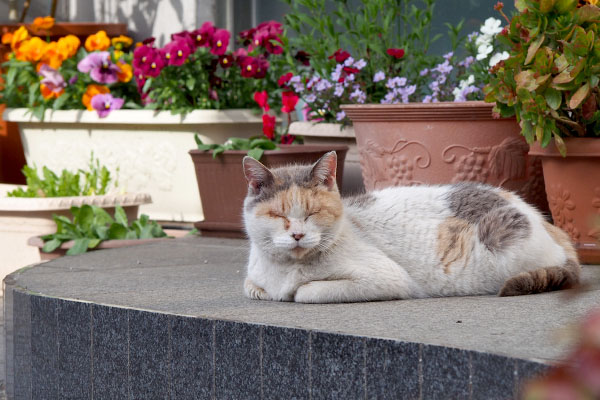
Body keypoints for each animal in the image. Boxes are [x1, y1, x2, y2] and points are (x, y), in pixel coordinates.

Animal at [240, 151, 580, 304]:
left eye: (313, 213)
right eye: (278, 215)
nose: (297, 234)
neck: (284, 270)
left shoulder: (386, 279)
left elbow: (304, 292)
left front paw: (292, 291)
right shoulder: (253, 278)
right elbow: (252, 287)